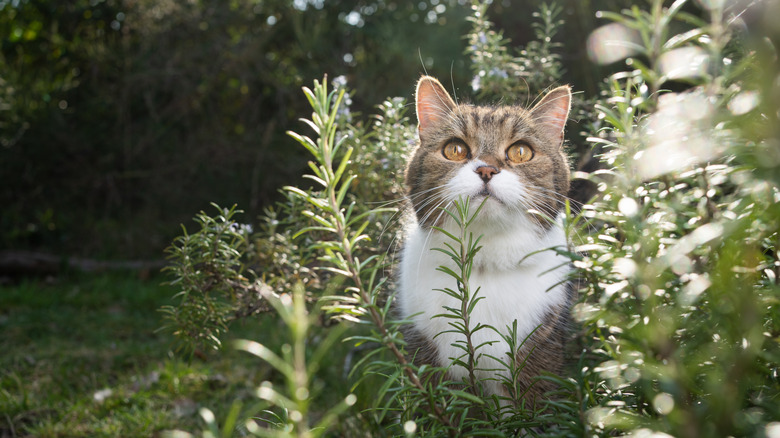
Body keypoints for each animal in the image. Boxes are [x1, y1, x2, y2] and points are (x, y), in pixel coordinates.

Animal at [396, 75, 572, 408]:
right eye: (454, 149)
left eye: (521, 152)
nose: (486, 169)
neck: (482, 264)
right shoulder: (425, 353)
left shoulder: (540, 353)